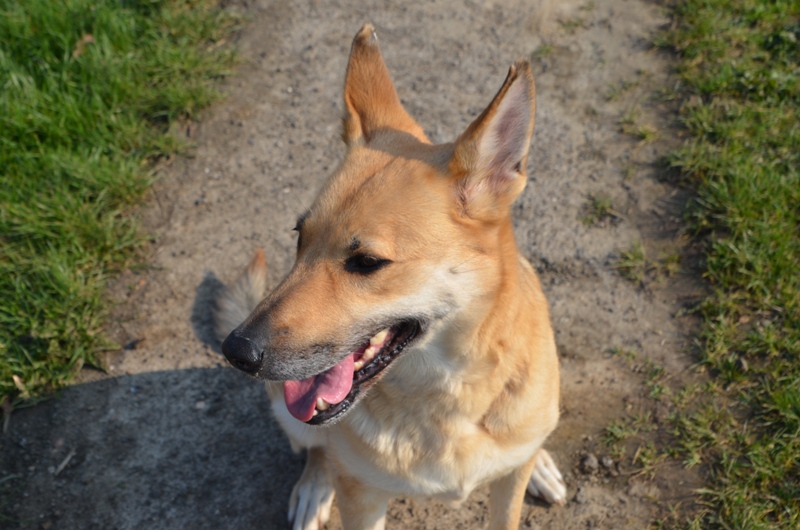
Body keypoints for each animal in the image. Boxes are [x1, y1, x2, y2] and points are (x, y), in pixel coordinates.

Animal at [216, 24, 566, 530]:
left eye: (366, 262)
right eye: (300, 238)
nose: (235, 351)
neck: (447, 398)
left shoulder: (505, 489)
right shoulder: (361, 497)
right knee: (316, 449)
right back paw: (315, 486)